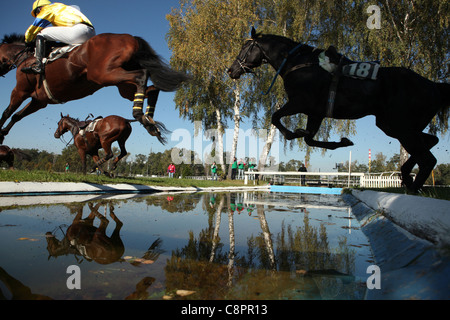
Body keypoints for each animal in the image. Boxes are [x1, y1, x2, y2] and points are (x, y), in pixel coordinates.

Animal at [0, 32, 188, 144]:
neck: (26, 58)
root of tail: (132, 38)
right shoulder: (39, 101)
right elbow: (16, 116)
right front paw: (3, 133)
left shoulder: (21, 90)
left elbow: (7, 112)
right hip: (122, 85)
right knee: (152, 89)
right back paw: (149, 122)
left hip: (103, 74)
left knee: (141, 76)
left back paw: (140, 116)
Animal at [230, 28, 448, 192]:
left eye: (245, 47)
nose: (231, 70)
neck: (300, 63)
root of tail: (434, 85)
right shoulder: (316, 112)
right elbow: (309, 138)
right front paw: (342, 141)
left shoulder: (300, 102)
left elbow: (276, 118)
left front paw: (294, 133)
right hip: (395, 126)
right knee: (430, 141)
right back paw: (407, 176)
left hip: (400, 125)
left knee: (428, 159)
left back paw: (413, 186)